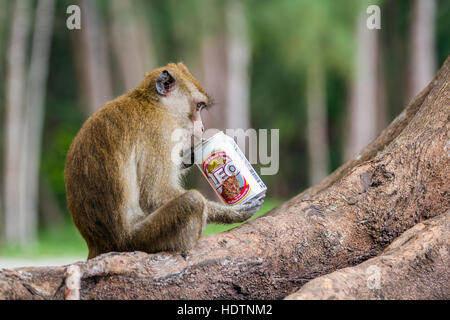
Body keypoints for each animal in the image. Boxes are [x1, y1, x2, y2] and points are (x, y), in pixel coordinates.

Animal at [65, 61, 266, 258]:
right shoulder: (160, 131)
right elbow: (155, 195)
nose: (202, 128)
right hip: (136, 240)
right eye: (198, 106)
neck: (155, 105)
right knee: (192, 200)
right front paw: (232, 212)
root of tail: (98, 245)